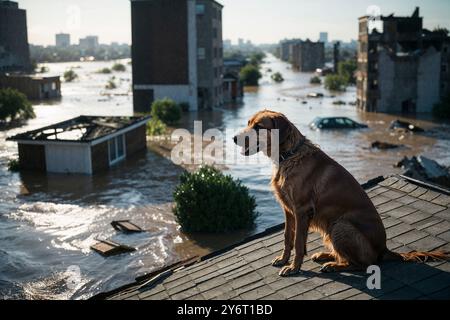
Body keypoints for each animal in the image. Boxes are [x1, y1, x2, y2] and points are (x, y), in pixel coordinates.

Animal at [236, 109, 446, 276]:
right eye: (248, 123)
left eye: (258, 126)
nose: (234, 138)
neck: (289, 155)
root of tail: (384, 249)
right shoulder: (289, 210)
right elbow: (288, 237)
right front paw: (282, 259)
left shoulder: (302, 210)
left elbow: (298, 243)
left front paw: (294, 268)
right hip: (332, 228)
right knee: (345, 256)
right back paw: (326, 255)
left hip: (340, 225)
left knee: (363, 264)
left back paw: (333, 265)